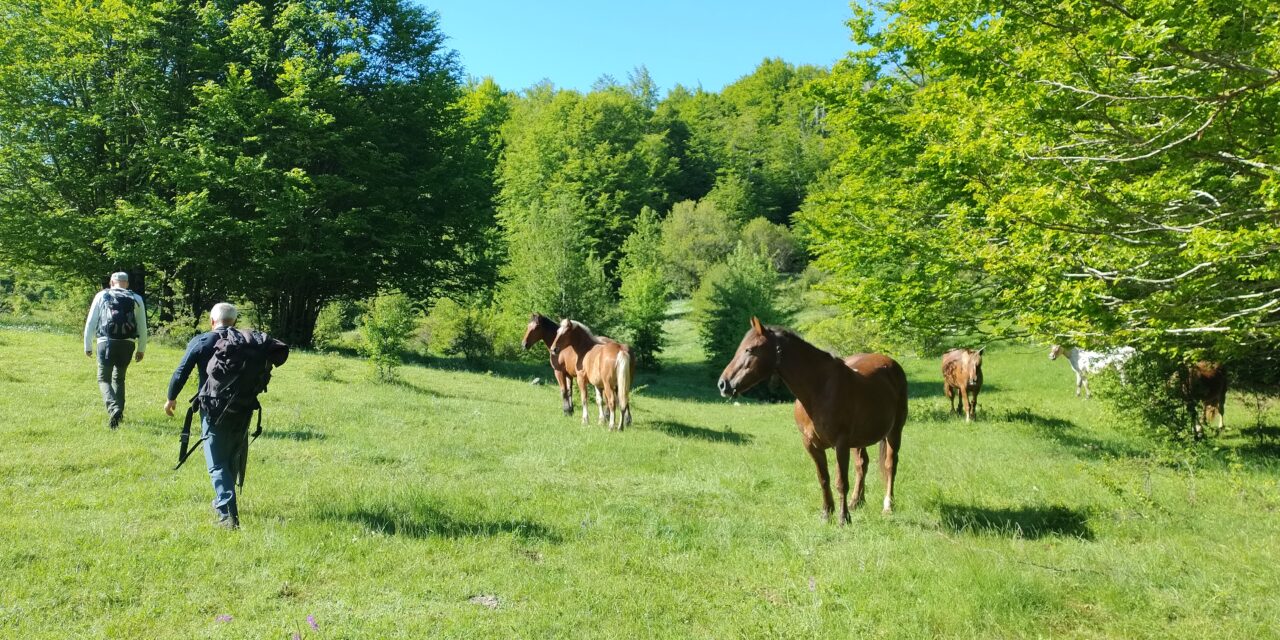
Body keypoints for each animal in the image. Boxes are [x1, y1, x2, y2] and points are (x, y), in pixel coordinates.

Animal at [716, 317, 906, 522]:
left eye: (750, 349)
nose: (723, 384)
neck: (819, 389)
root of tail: (891, 364)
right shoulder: (811, 444)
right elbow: (823, 479)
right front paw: (826, 514)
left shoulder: (841, 444)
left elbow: (841, 481)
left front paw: (843, 519)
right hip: (859, 441)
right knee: (862, 464)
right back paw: (856, 502)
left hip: (895, 432)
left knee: (890, 465)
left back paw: (887, 506)